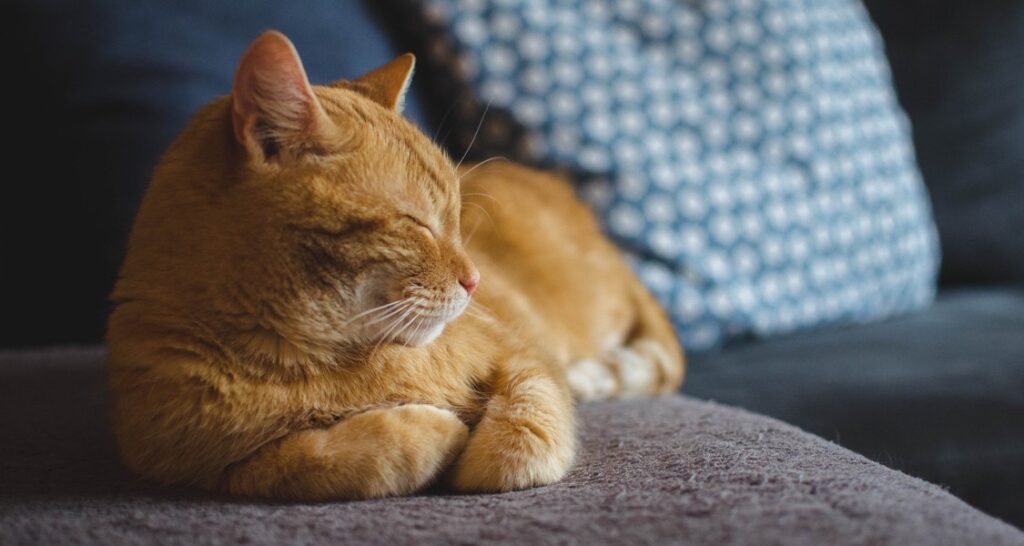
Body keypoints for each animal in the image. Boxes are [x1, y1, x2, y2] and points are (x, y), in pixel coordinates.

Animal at [105, 30, 679, 497]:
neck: (314, 358)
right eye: (417, 224)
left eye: (457, 217)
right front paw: (434, 431)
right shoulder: (203, 465)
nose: (474, 280)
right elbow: (323, 460)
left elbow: (526, 426)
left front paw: (479, 454)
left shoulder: (523, 355)